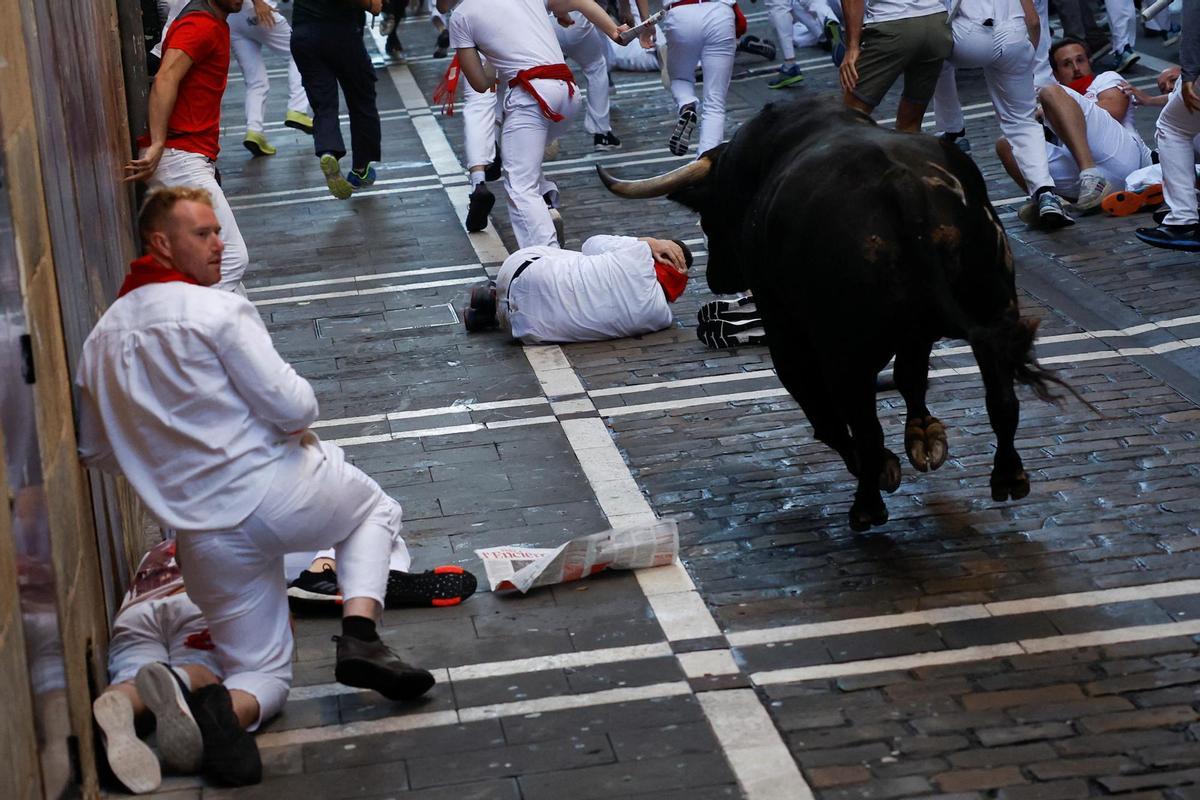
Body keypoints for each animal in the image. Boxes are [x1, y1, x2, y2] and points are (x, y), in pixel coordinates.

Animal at [597, 97, 1060, 532]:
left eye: (709, 216)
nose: (714, 276)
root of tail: (904, 188)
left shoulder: (786, 332)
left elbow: (824, 414)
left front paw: (889, 464)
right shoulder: (914, 336)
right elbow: (910, 378)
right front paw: (924, 436)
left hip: (843, 351)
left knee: (860, 423)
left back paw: (867, 505)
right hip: (995, 311)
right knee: (1000, 399)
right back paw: (1008, 477)